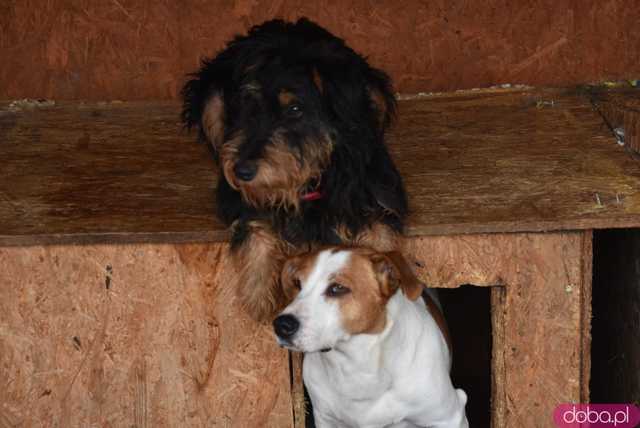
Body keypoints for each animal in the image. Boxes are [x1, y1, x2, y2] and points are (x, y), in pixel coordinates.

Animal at [182, 19, 408, 320]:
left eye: (295, 109)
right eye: (247, 107)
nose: (242, 171)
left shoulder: (378, 191)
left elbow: (382, 238)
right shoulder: (241, 197)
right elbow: (256, 226)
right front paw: (259, 293)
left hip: (377, 91)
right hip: (211, 97)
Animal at [272, 247, 468, 428]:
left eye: (337, 288)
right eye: (297, 283)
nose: (281, 325)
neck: (356, 366)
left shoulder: (450, 417)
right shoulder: (325, 418)